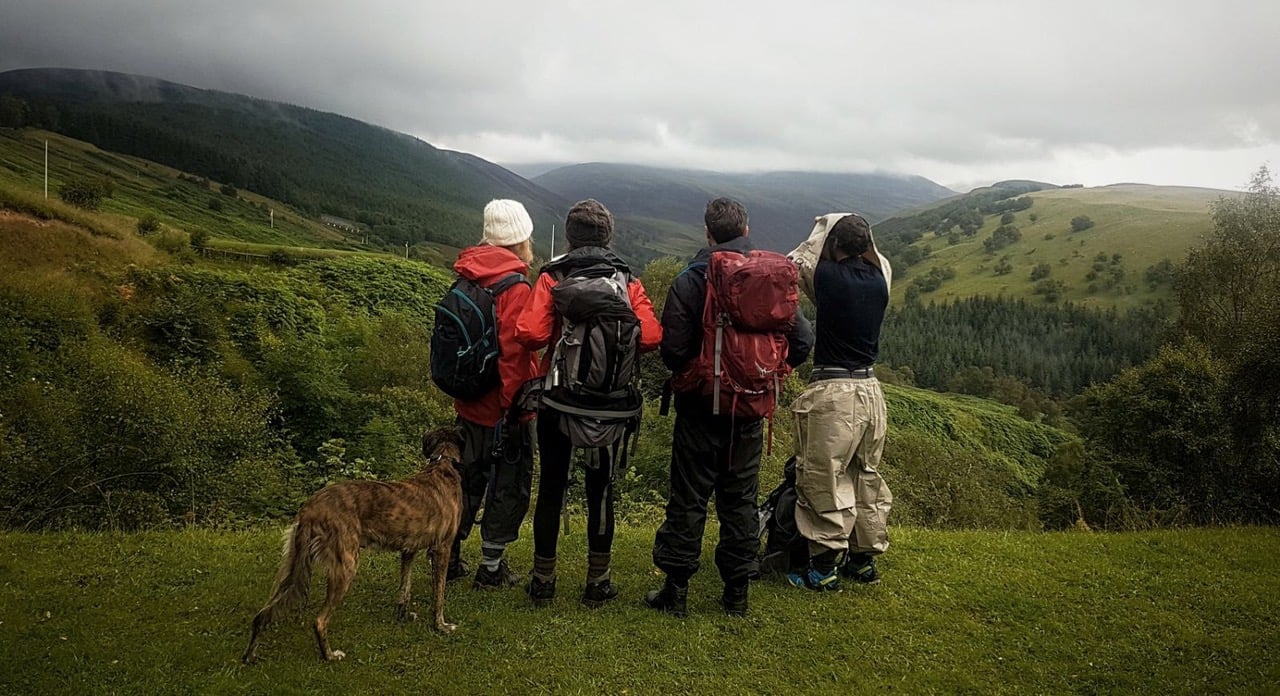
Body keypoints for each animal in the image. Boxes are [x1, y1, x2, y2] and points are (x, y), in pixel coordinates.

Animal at [240, 424, 465, 665]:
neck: (443, 464)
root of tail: (310, 508)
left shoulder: (408, 550)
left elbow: (405, 587)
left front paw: (403, 616)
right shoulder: (442, 548)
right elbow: (439, 594)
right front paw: (441, 626)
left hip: (293, 565)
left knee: (262, 613)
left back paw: (250, 654)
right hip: (346, 564)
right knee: (319, 621)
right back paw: (329, 655)